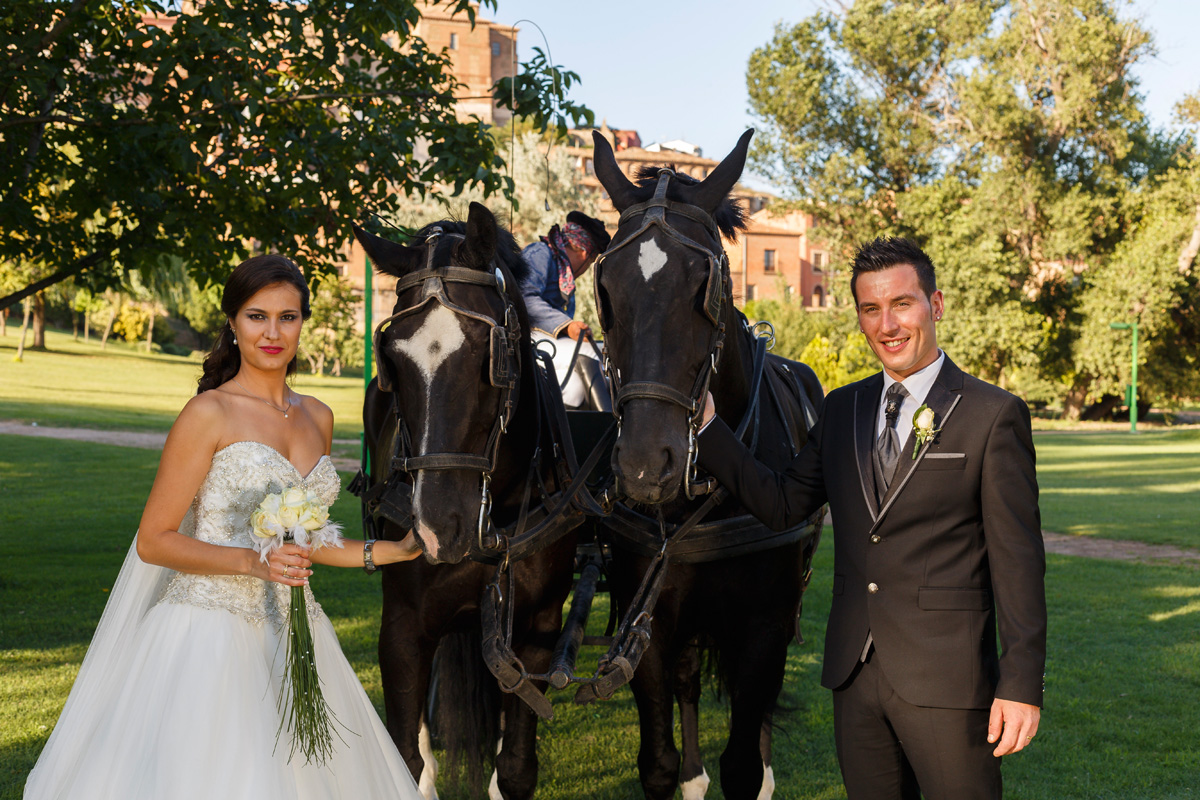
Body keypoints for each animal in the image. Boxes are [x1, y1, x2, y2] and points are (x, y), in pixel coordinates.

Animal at [352, 206, 578, 800]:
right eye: (392, 358)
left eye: (488, 355)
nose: (438, 526)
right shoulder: (403, 627)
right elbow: (405, 758)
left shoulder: (535, 630)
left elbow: (516, 767)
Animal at [588, 128, 825, 796]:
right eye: (606, 288)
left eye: (706, 286)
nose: (647, 464)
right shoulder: (647, 625)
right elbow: (659, 761)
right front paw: (683, 772)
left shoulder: (764, 628)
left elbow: (743, 761)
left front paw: (756, 770)